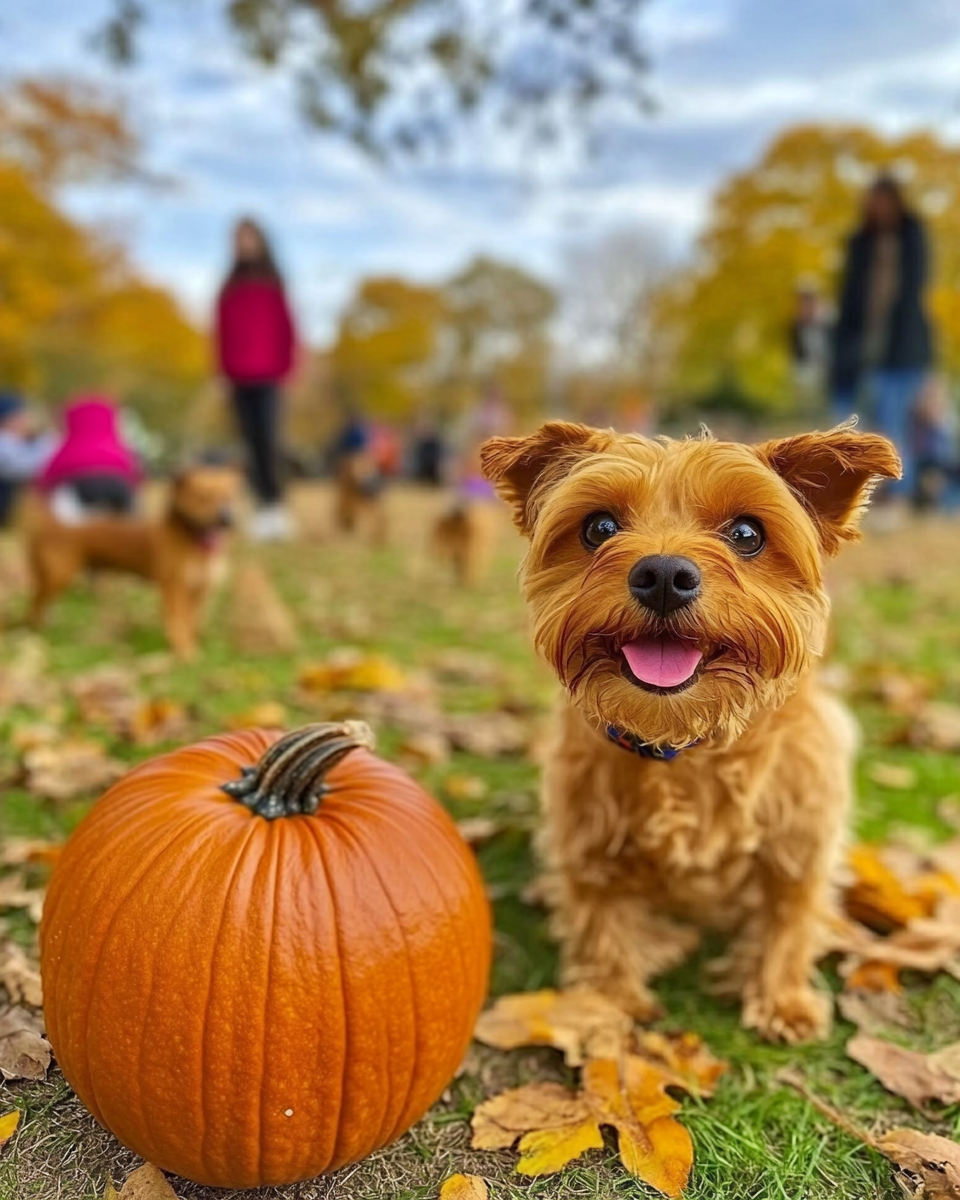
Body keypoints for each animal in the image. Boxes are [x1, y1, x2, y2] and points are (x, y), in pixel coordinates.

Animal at [26, 465, 240, 657]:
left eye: (229, 497)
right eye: (202, 497)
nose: (226, 519)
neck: (192, 541)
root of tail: (52, 527)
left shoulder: (200, 591)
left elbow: (192, 622)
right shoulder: (174, 589)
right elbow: (178, 623)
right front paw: (185, 652)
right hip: (58, 577)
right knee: (37, 602)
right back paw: (35, 630)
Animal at [484, 424, 902, 1041]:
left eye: (747, 534)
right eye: (599, 528)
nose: (663, 574)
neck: (687, 745)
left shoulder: (800, 837)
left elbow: (790, 915)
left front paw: (781, 999)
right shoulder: (586, 841)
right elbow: (598, 920)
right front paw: (608, 1002)